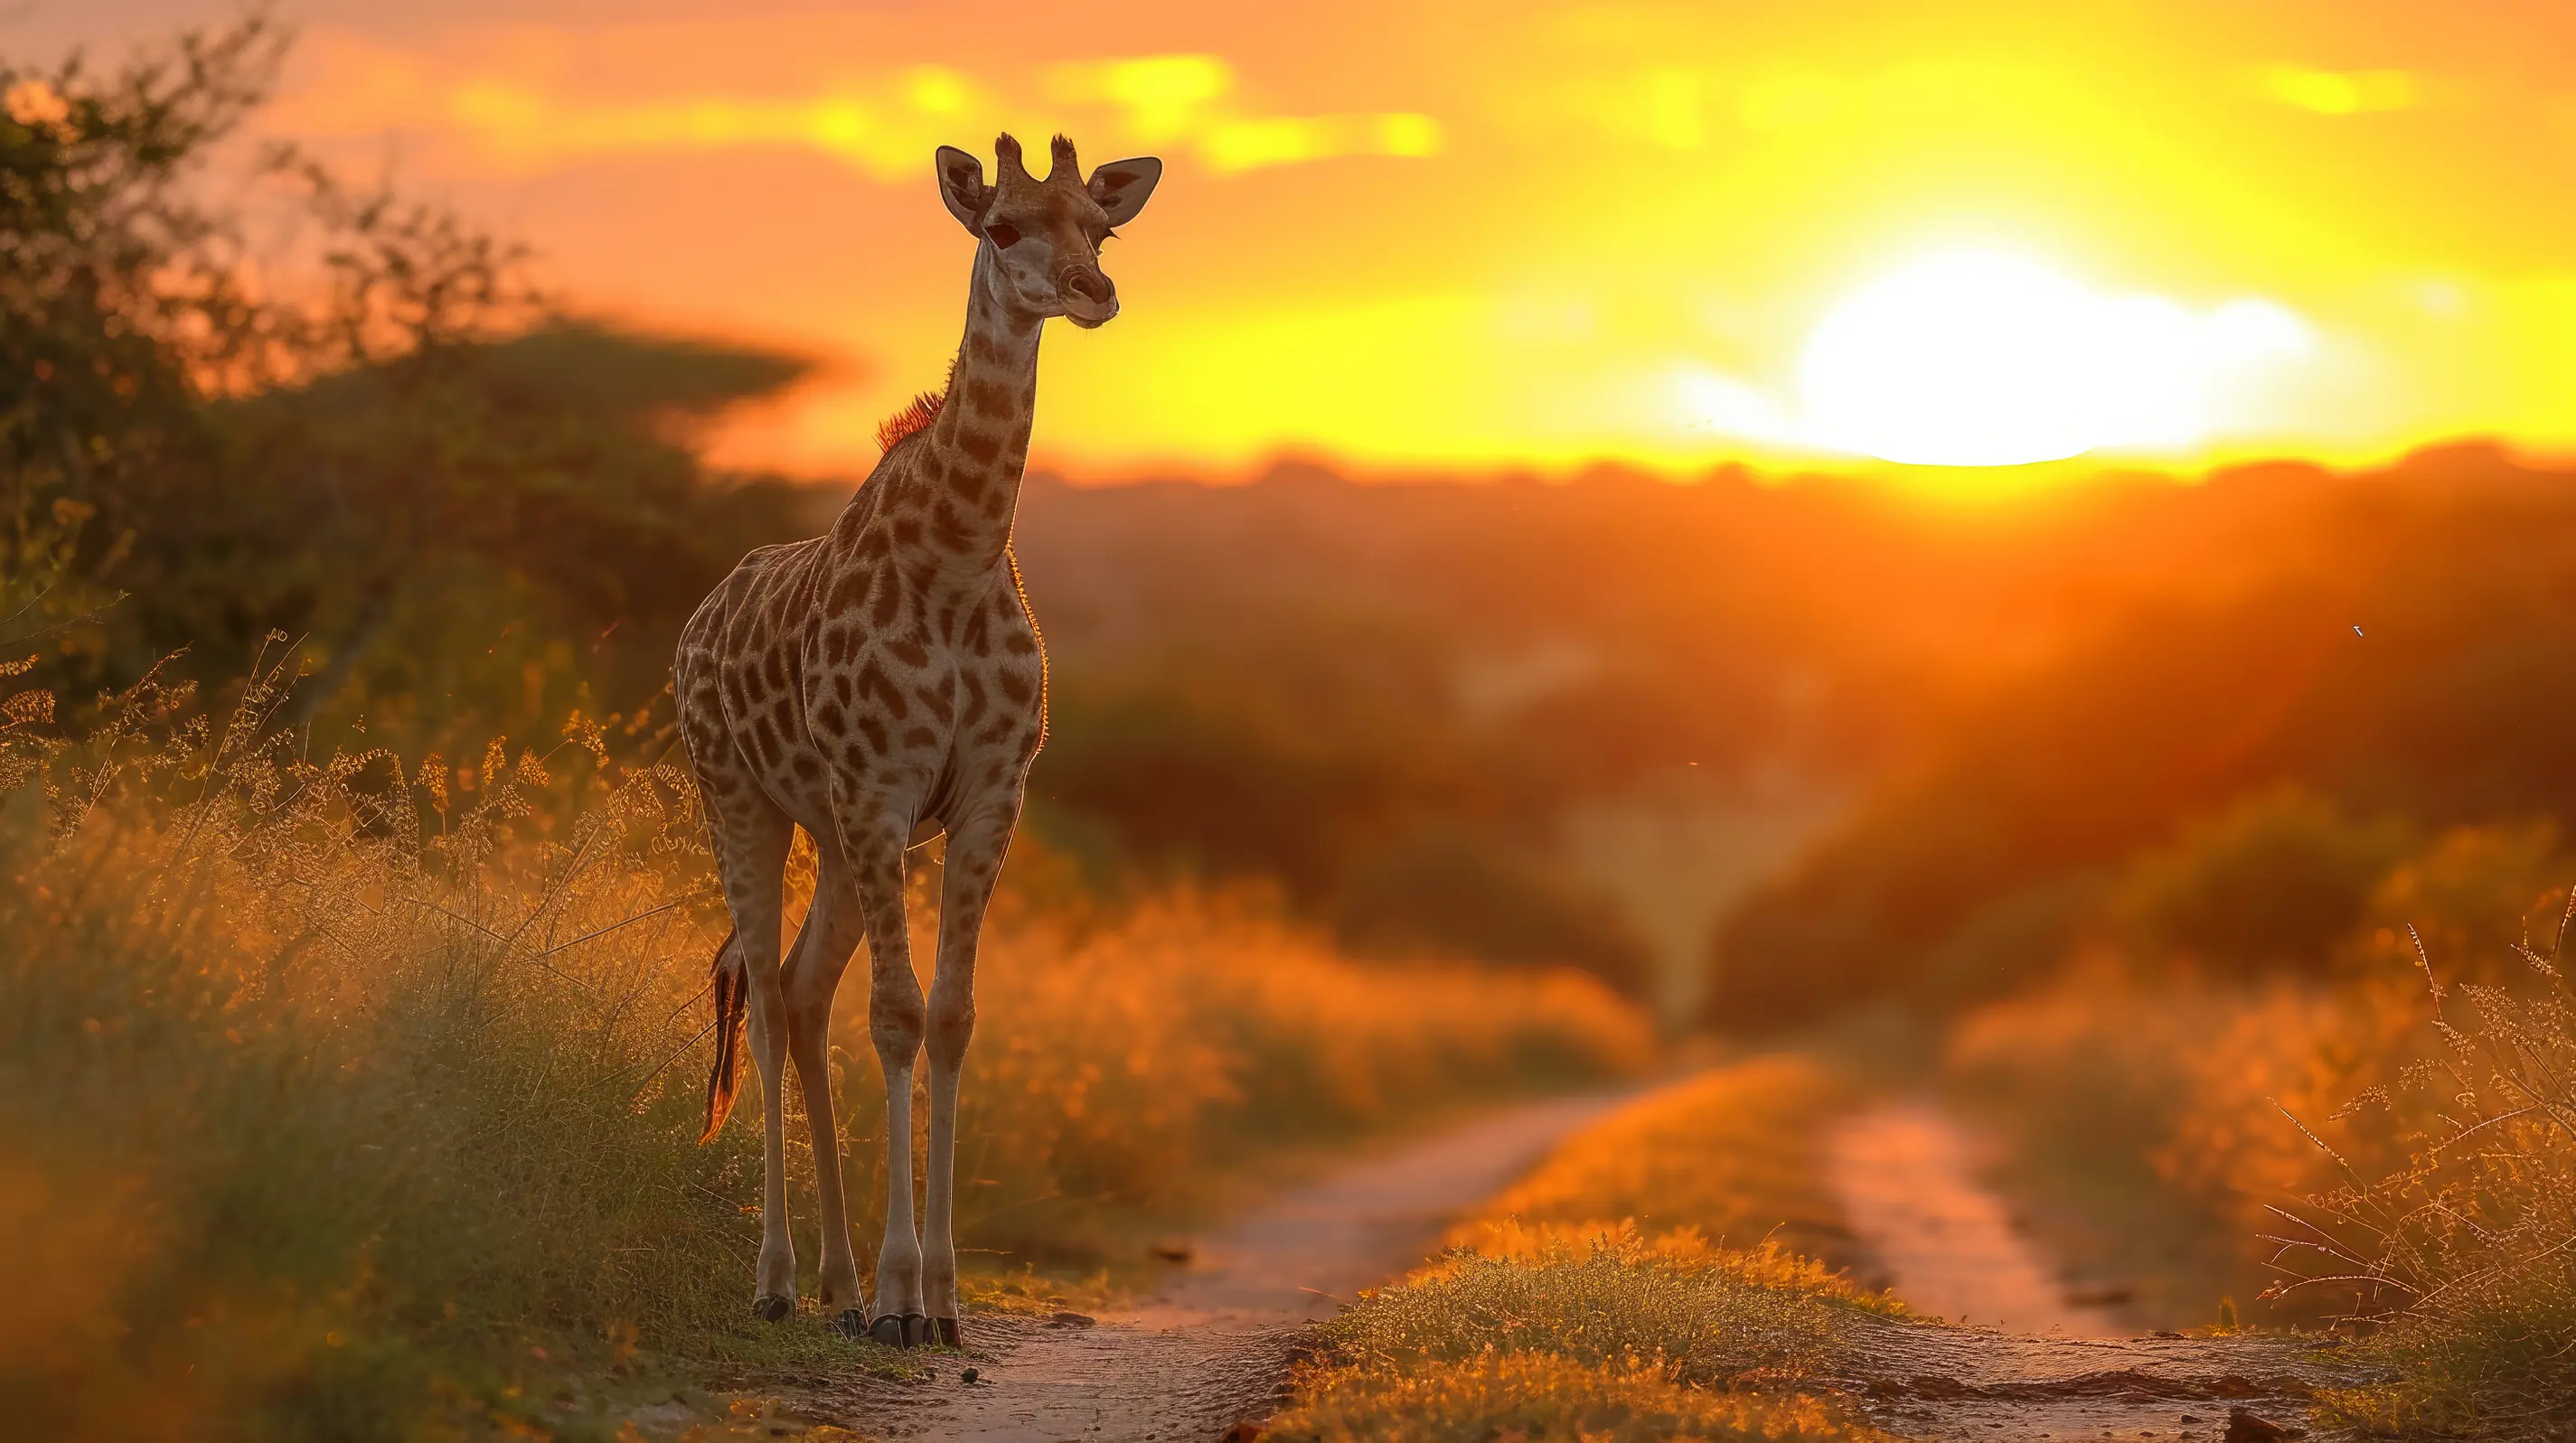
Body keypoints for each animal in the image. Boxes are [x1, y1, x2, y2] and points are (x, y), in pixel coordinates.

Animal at [672, 133, 1161, 1348]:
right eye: (1002, 227)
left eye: (1102, 225)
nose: (1092, 290)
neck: (958, 553)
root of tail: (696, 623)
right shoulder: (879, 789)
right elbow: (893, 1017)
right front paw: (901, 1295)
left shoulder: (987, 797)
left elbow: (950, 1017)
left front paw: (937, 1296)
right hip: (741, 798)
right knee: (764, 996)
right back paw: (783, 1280)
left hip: (835, 833)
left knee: (801, 990)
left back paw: (838, 1285)